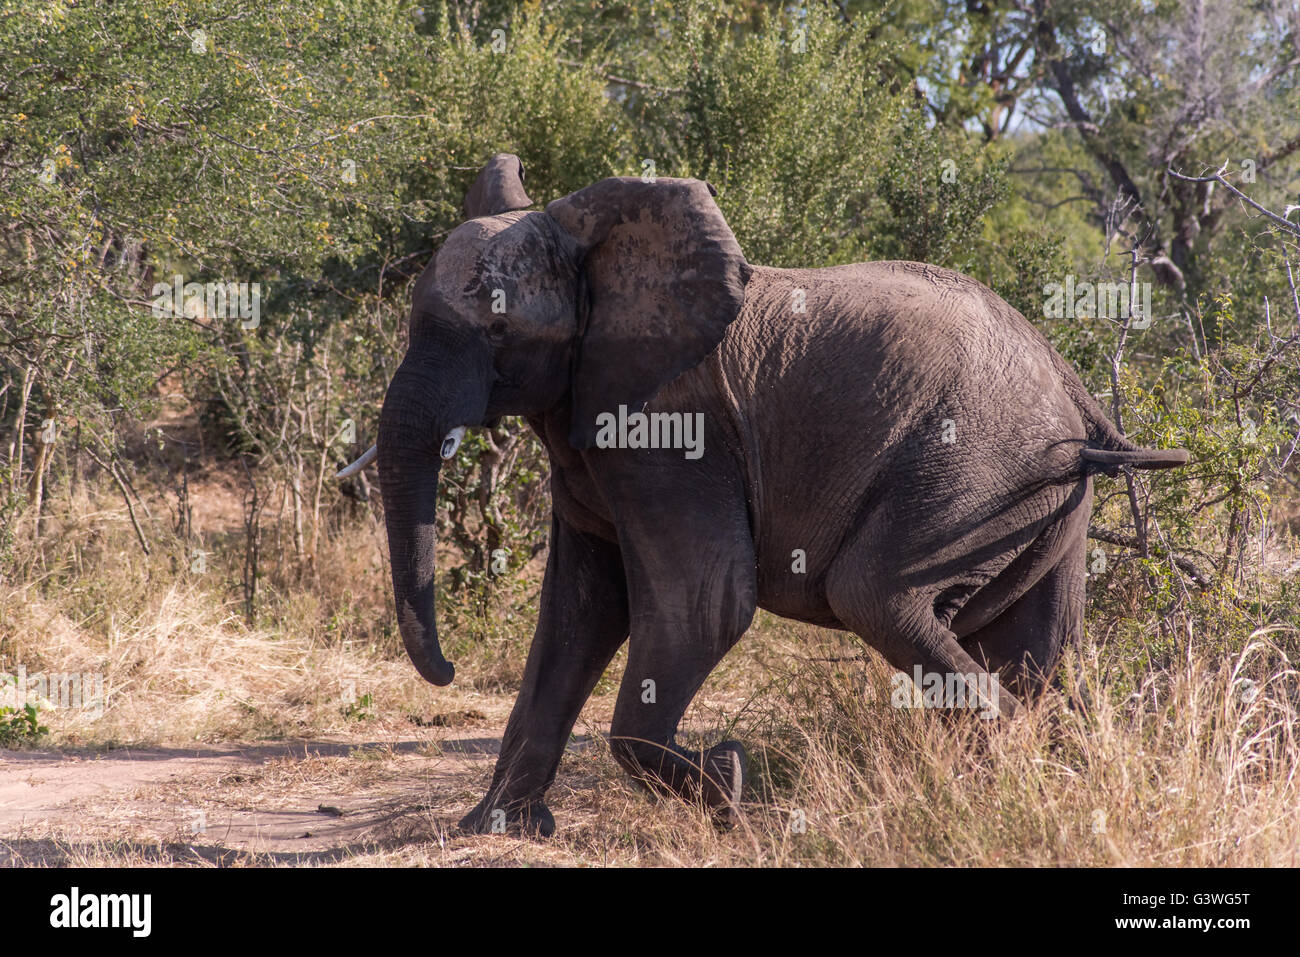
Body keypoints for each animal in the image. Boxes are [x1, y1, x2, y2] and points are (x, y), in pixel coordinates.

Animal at [343, 153, 1190, 832]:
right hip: (1045, 503)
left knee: (876, 593)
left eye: (496, 332)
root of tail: (1078, 393)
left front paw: (727, 781)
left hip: (973, 465)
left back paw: (1005, 769)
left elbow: (707, 600)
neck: (602, 260)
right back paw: (1051, 778)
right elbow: (578, 613)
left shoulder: (671, 428)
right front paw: (496, 826)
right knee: (1046, 648)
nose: (448, 671)